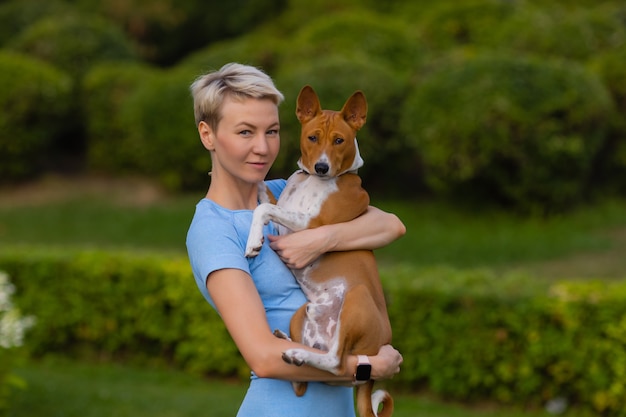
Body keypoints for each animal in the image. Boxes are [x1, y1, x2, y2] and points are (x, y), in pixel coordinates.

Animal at [246, 85, 392, 416]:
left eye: (339, 140)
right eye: (313, 137)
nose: (322, 167)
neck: (311, 180)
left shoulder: (310, 224)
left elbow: (263, 208)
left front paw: (253, 241)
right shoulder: (284, 206)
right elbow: (262, 189)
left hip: (356, 298)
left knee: (336, 363)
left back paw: (300, 354)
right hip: (302, 312)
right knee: (302, 382)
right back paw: (289, 346)